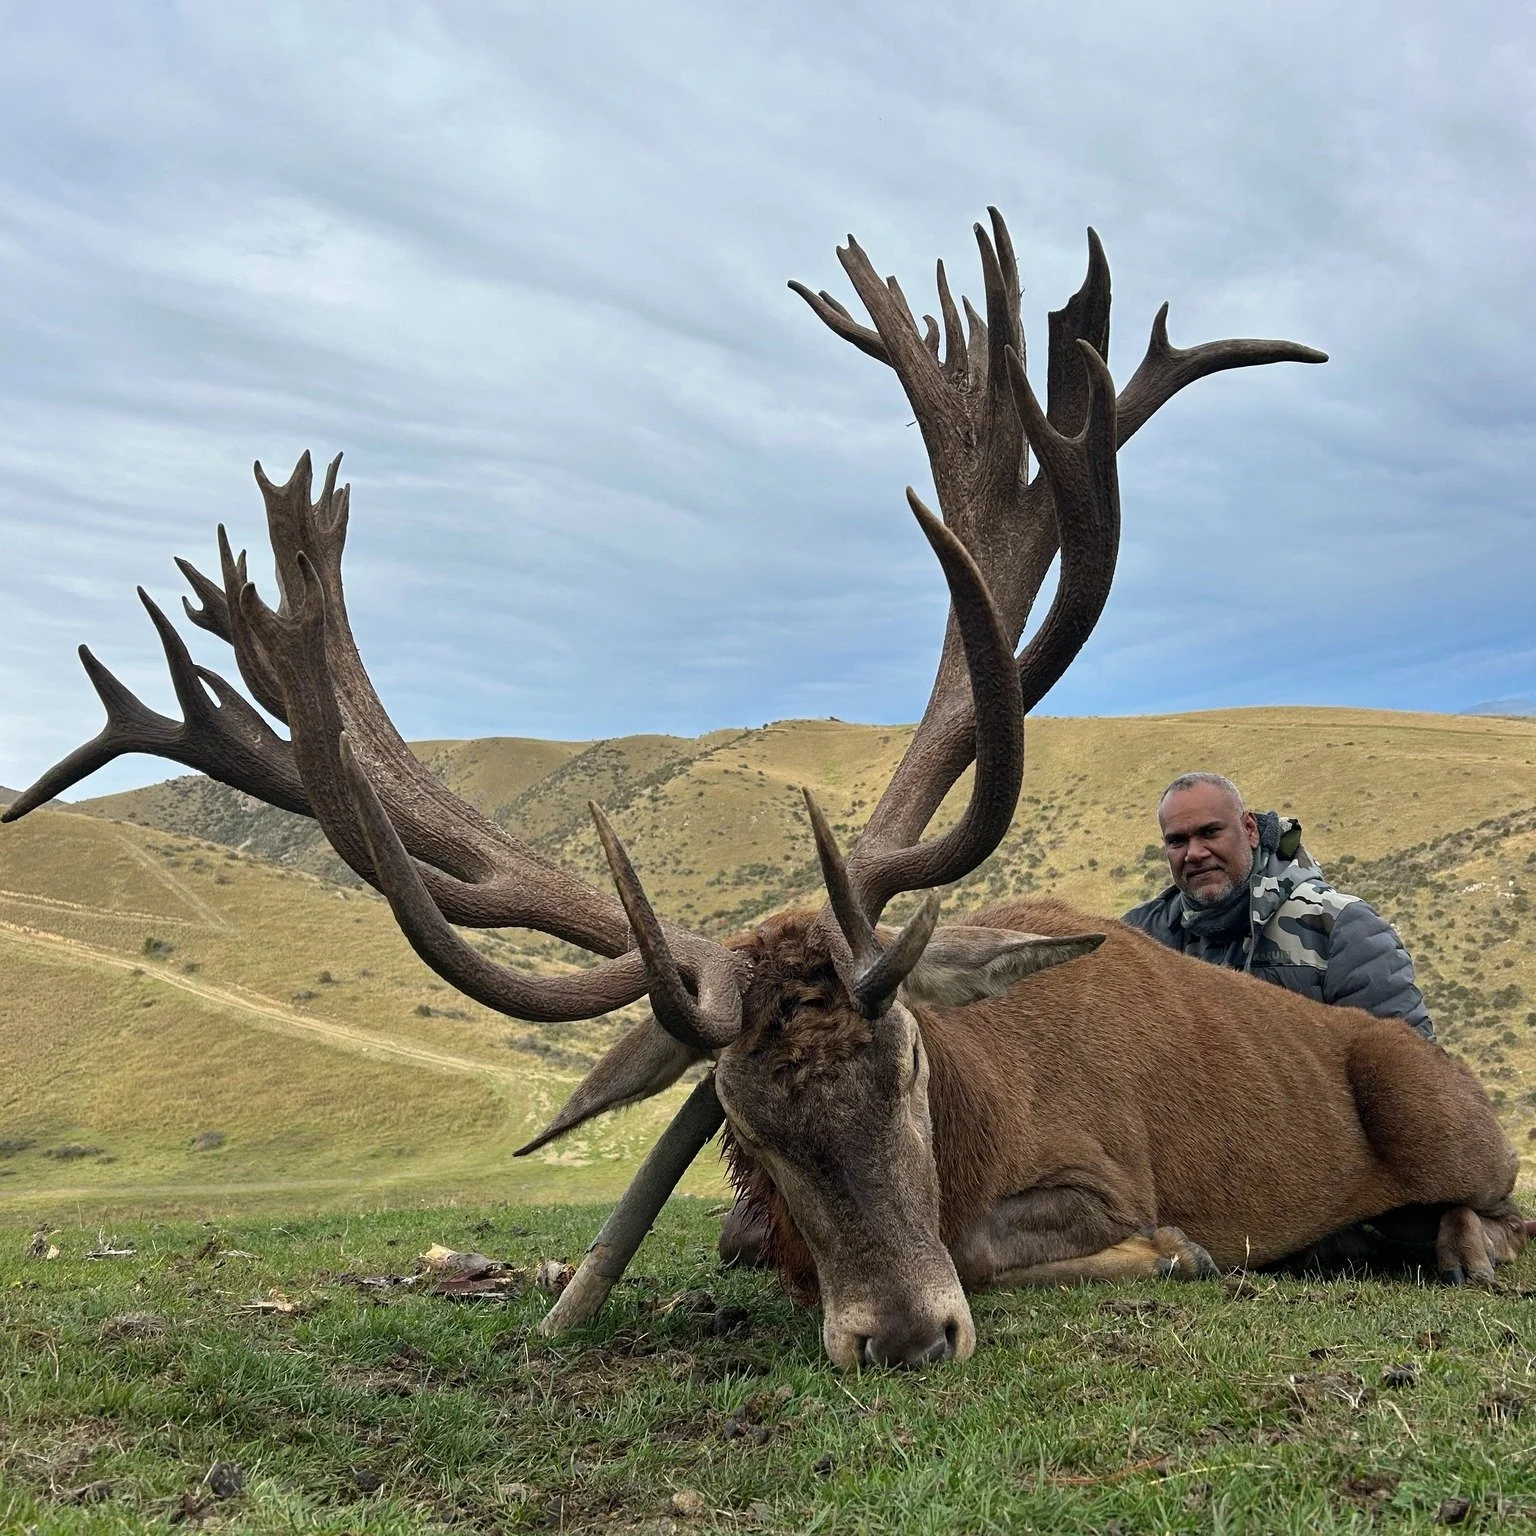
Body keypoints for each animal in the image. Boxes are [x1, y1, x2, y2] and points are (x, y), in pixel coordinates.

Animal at [5, 209, 1523, 1370]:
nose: (903, 1335)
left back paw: (1448, 1247)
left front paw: (1183, 1256)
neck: (975, 1111)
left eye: (909, 1062)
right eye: (739, 1120)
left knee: (1495, 1208)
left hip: (1446, 1105)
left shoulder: (1101, 1173)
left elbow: (1070, 1241)